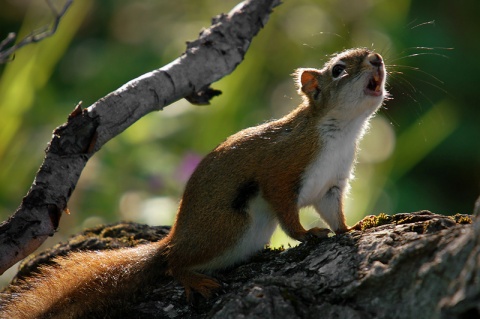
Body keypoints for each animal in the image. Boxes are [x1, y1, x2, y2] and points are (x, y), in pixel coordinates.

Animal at [0, 48, 386, 319]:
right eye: (338, 69)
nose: (377, 59)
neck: (342, 133)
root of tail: (175, 239)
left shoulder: (332, 186)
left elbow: (334, 213)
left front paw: (352, 227)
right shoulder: (281, 167)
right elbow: (286, 210)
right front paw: (307, 234)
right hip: (228, 226)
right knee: (175, 264)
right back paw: (192, 278)